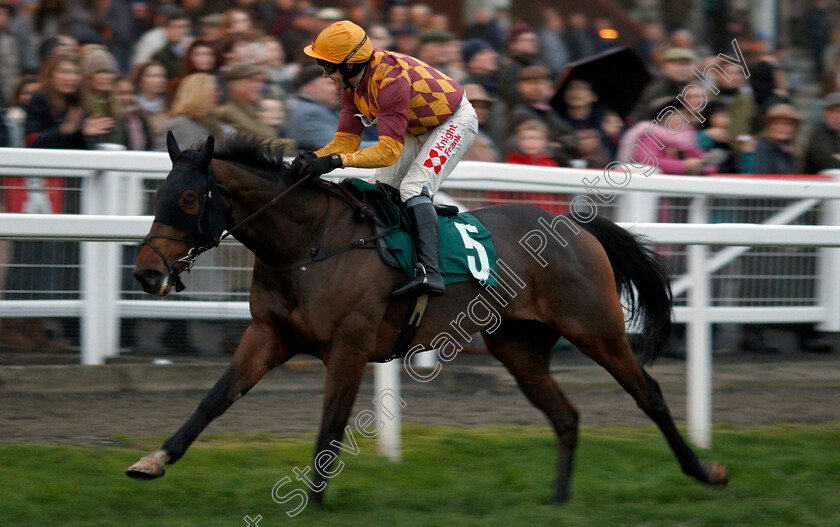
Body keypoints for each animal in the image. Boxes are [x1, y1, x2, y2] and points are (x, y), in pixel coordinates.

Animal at [126, 134, 728, 506]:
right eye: (158, 195)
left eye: (187, 198)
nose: (147, 274)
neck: (308, 243)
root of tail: (576, 226)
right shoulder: (269, 335)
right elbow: (214, 400)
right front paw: (153, 460)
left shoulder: (348, 345)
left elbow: (331, 425)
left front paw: (314, 502)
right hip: (518, 347)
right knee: (566, 416)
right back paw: (559, 500)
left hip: (595, 328)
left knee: (648, 393)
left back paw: (705, 471)